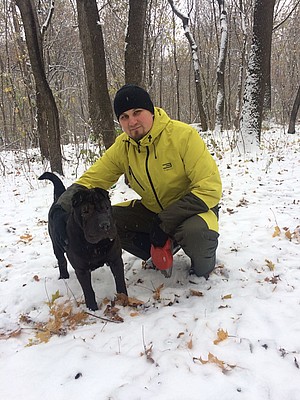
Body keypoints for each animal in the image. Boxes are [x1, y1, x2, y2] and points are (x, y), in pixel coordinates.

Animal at [38, 172, 126, 310]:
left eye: (107, 207)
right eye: (85, 211)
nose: (105, 225)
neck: (96, 246)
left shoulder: (116, 259)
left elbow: (120, 281)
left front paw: (124, 300)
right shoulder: (81, 270)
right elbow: (88, 290)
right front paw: (92, 308)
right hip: (56, 245)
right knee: (61, 261)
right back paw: (64, 277)